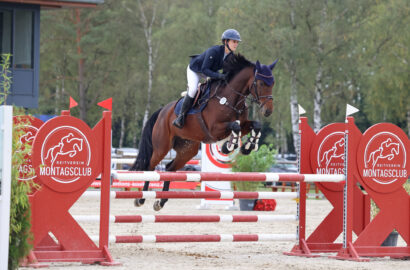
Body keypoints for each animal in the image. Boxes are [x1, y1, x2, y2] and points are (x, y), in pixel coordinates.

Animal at [131, 53, 278, 211]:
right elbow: (235, 126)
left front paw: (248, 146)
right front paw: (228, 146)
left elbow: (255, 125)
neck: (231, 98)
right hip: (162, 146)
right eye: (261, 83)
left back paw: (160, 202)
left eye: (273, 83)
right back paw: (141, 199)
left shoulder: (243, 124)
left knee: (170, 168)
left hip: (187, 149)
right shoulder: (214, 129)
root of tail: (162, 111)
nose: (268, 111)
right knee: (150, 166)